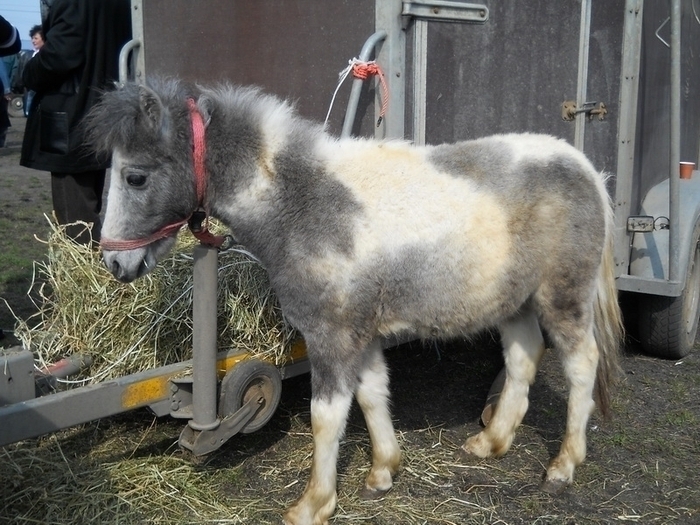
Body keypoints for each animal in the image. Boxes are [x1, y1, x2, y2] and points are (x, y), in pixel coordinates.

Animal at [87, 78, 624, 524]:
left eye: (134, 177)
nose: (115, 264)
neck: (301, 203)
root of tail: (584, 169)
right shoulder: (359, 333)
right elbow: (371, 393)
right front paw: (383, 471)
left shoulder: (332, 334)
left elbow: (327, 416)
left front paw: (312, 505)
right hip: (515, 302)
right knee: (522, 356)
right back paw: (491, 441)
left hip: (563, 297)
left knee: (581, 364)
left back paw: (563, 465)